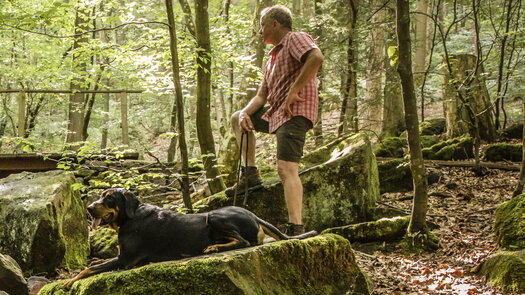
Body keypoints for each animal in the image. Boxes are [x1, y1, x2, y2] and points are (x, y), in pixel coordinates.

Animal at [61, 190, 316, 290]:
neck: (130, 217)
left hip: (214, 216)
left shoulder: (125, 260)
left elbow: (89, 268)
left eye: (109, 198)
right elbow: (92, 266)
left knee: (244, 242)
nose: (88, 208)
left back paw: (213, 247)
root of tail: (254, 215)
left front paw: (68, 281)